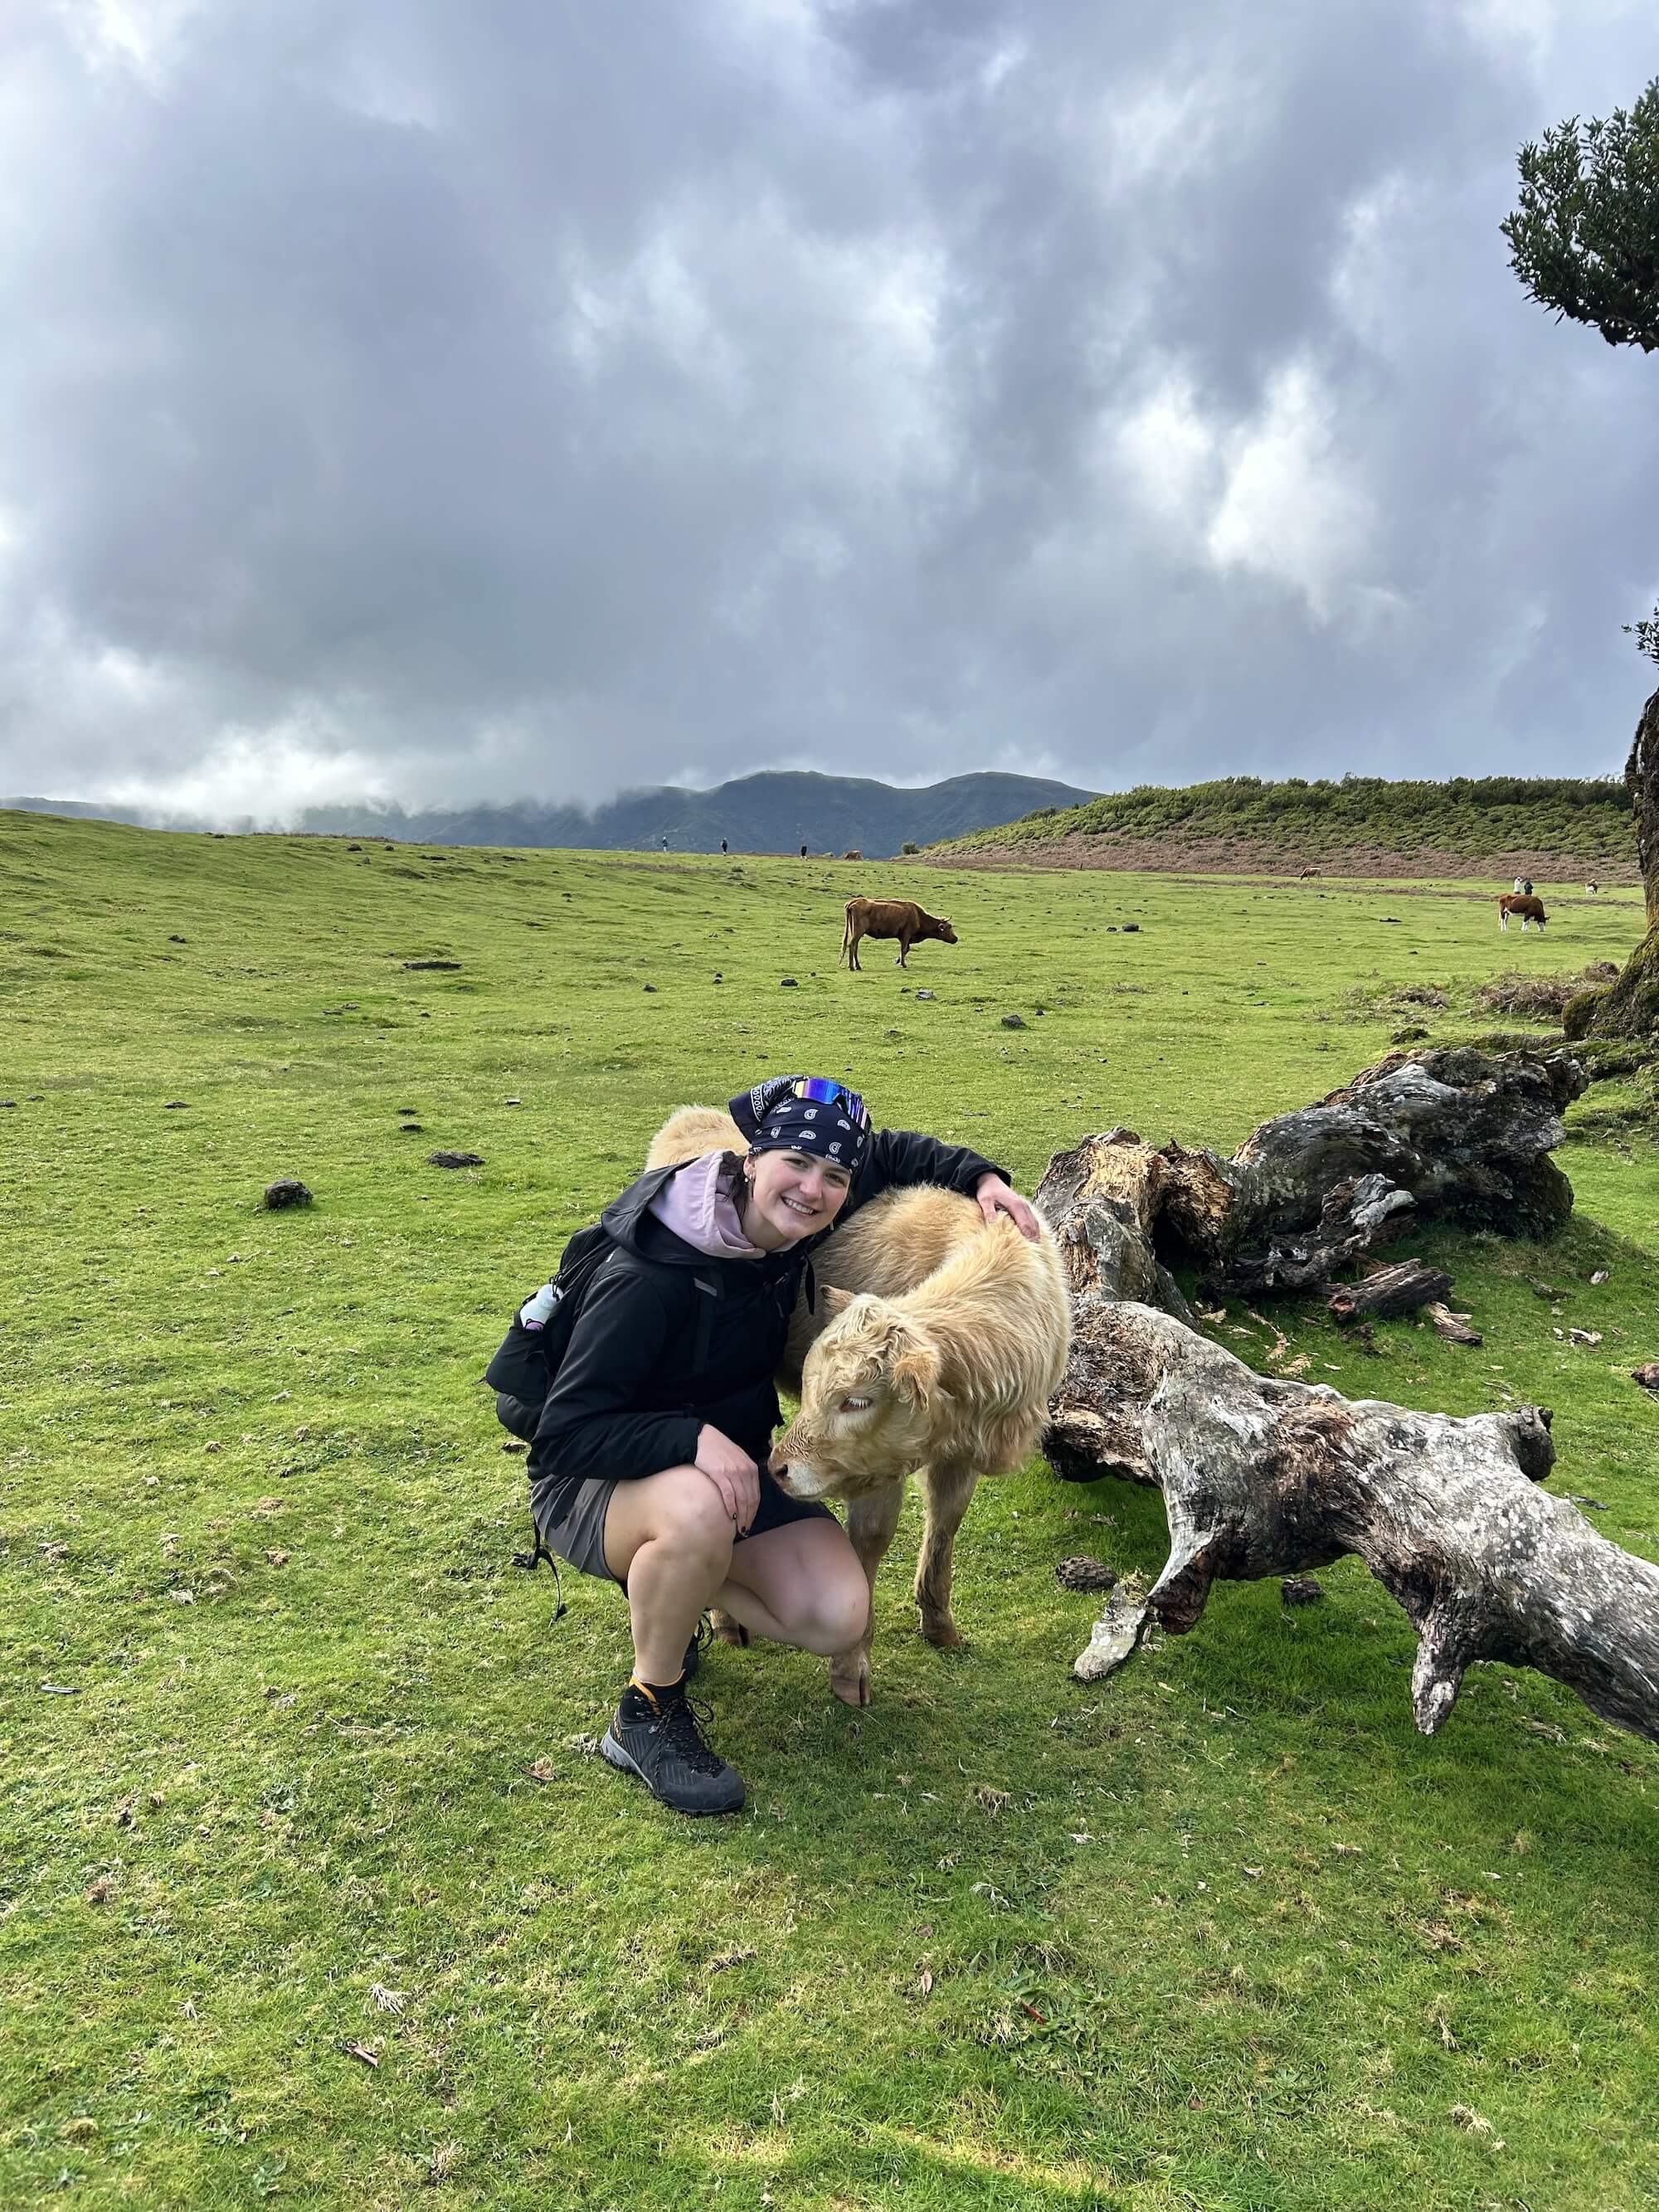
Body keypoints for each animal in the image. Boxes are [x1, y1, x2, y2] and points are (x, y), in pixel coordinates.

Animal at [844, 897, 960, 969]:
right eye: (949, 927)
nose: (956, 939)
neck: (918, 916)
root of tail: (853, 902)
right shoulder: (907, 935)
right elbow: (904, 949)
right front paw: (903, 964)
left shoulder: (903, 937)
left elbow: (906, 949)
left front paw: (897, 960)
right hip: (858, 932)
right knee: (852, 945)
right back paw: (852, 967)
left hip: (855, 932)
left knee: (855, 947)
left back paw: (857, 966)